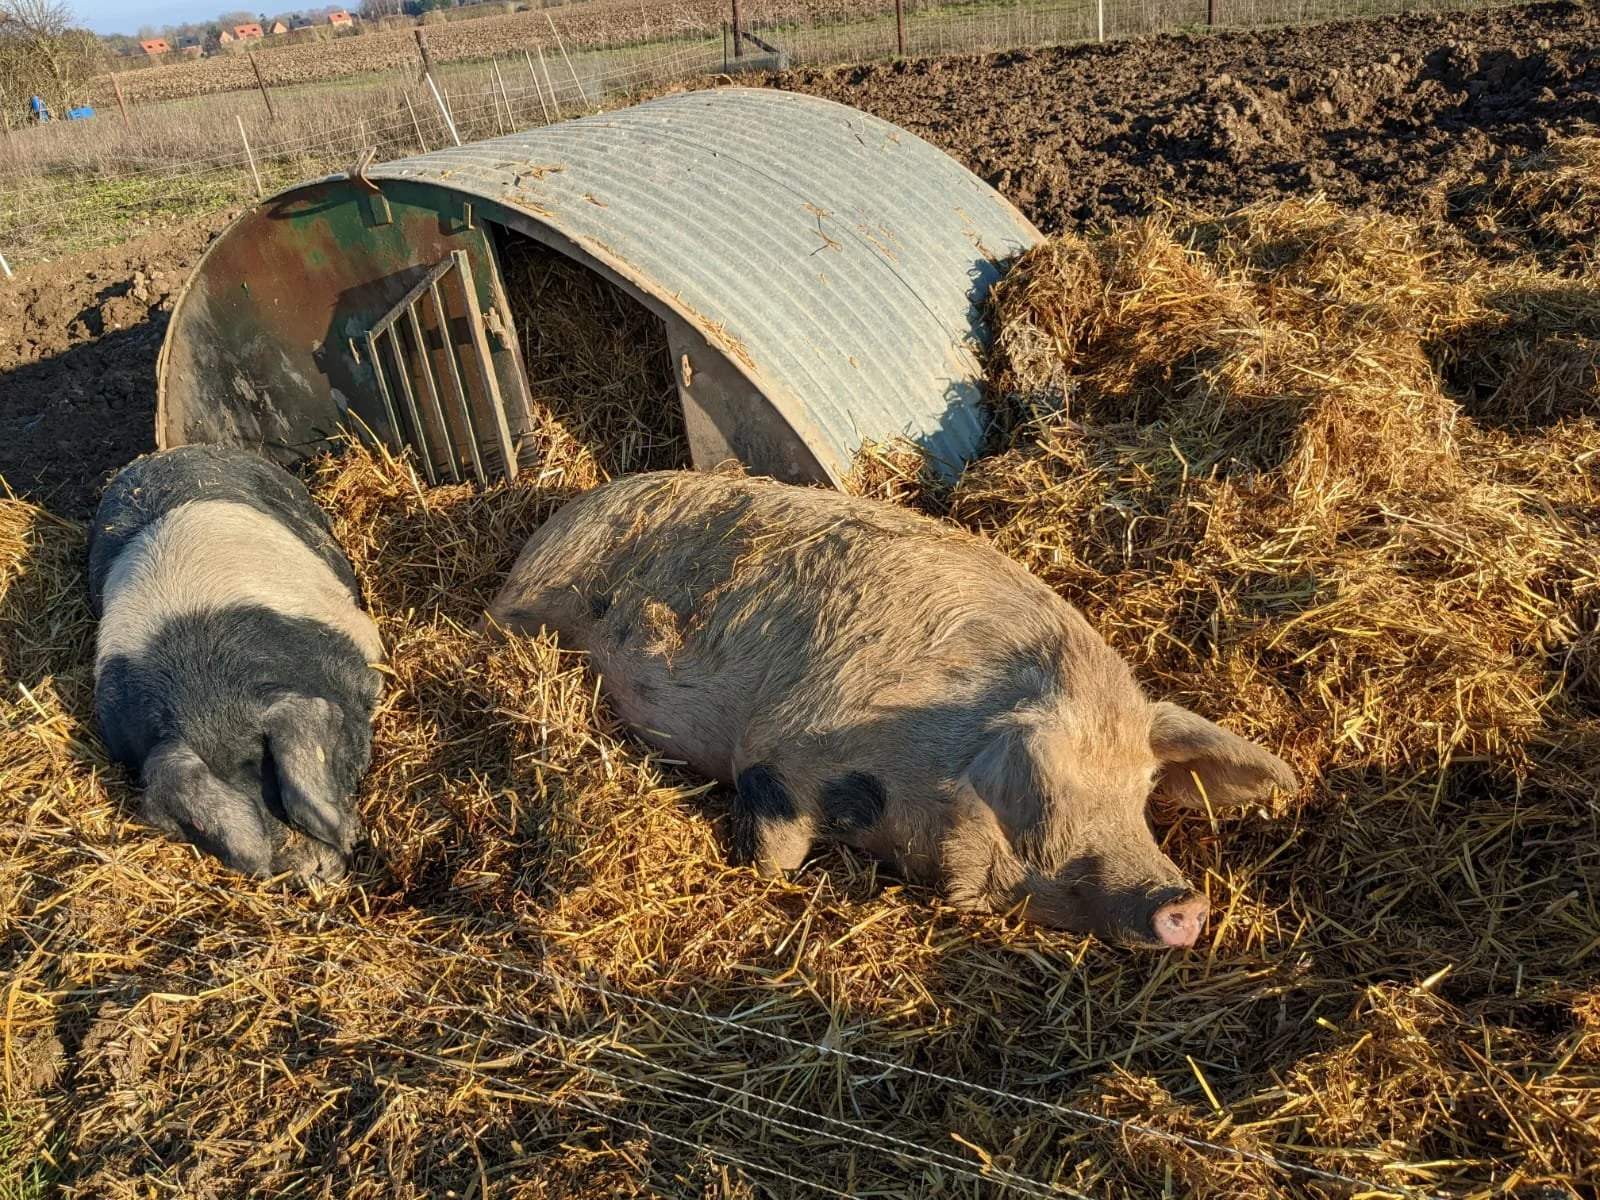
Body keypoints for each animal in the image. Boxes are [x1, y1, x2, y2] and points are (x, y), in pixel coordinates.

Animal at [89, 445, 385, 884]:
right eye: (249, 802)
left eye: (272, 778)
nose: (315, 870)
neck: (208, 692)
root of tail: (168, 453)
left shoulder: (362, 641)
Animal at [484, 471, 1299, 949]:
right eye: (1047, 797)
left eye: (1139, 794)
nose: (1185, 903)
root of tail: (556, 517)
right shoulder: (780, 750)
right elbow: (776, 851)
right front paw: (766, 883)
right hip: (530, 608)